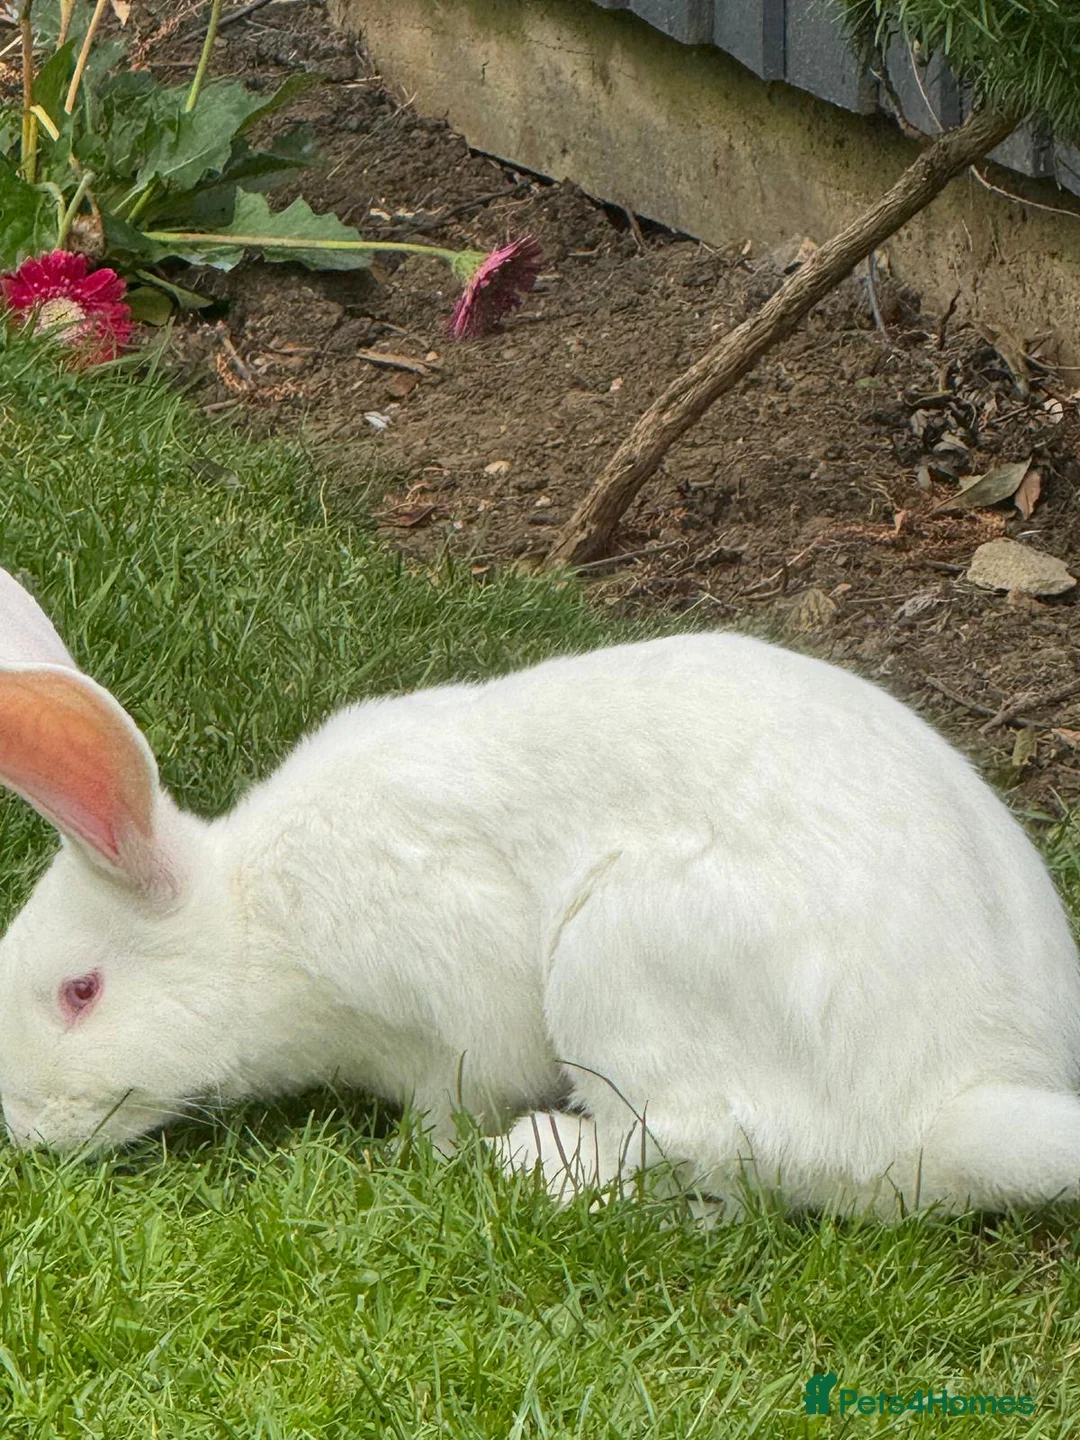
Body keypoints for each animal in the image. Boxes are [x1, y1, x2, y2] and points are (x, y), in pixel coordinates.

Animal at [1, 561, 1080, 1220]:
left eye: (80, 992)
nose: (24, 1131)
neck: (259, 923)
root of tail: (955, 1104)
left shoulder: (455, 1010)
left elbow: (455, 1092)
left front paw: (428, 1155)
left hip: (622, 970)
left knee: (698, 1159)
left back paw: (534, 1160)